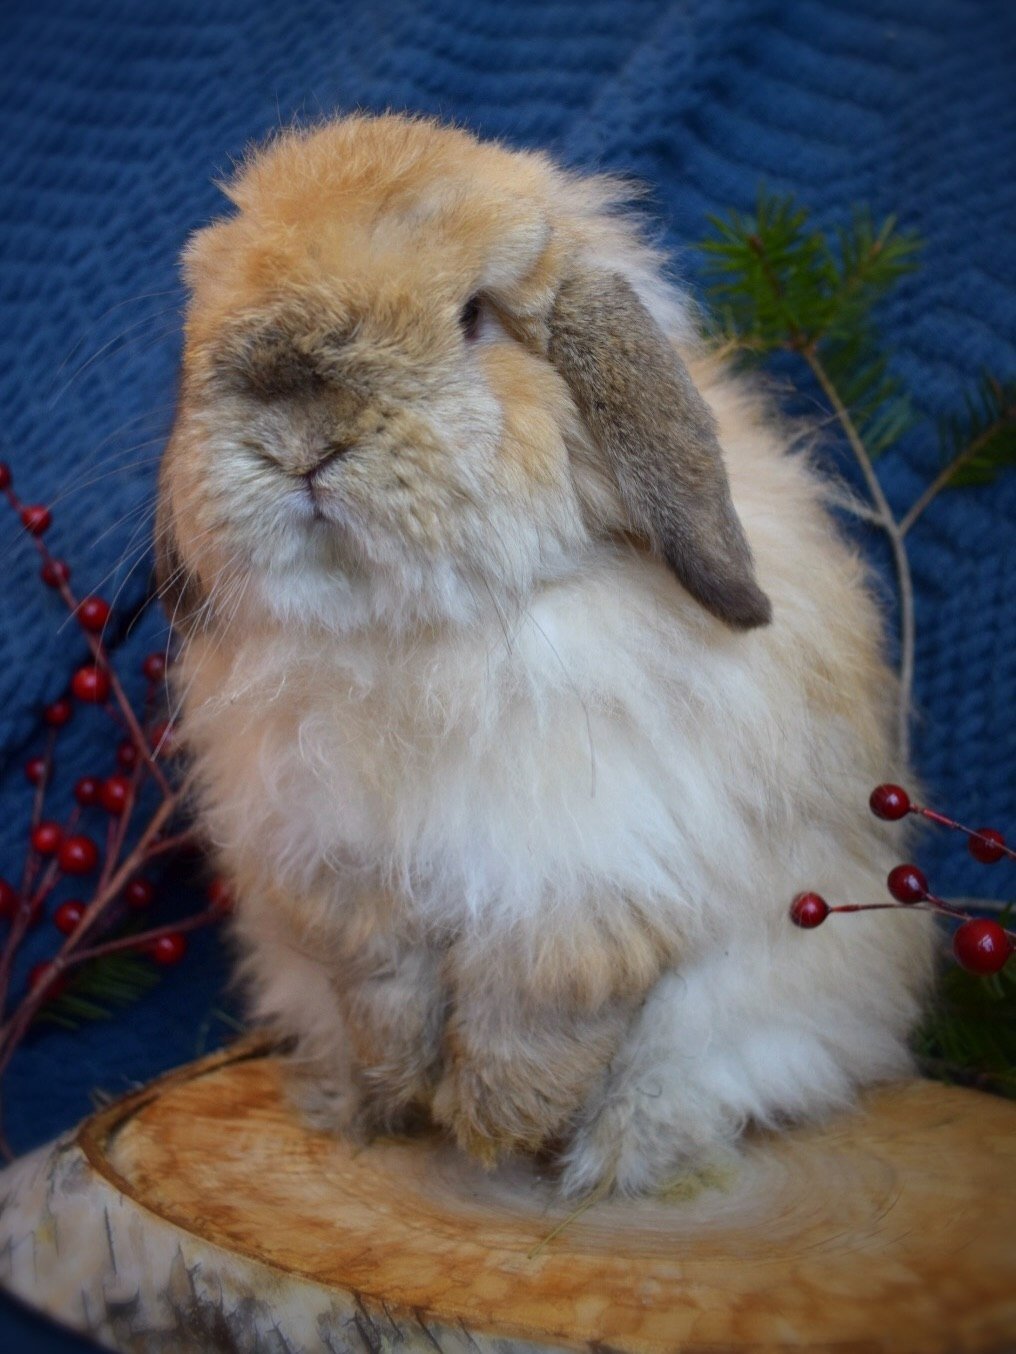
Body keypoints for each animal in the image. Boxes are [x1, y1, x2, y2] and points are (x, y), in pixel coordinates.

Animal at [156, 112, 935, 1197]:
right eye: (211, 313)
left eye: (475, 316)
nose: (296, 436)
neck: (415, 636)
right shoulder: (336, 872)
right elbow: (383, 989)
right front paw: (402, 1090)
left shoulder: (585, 876)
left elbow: (538, 1010)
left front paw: (494, 1126)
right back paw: (350, 1102)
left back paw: (623, 1147)